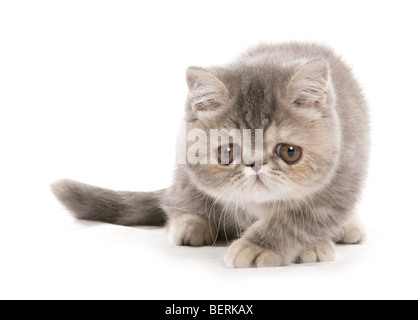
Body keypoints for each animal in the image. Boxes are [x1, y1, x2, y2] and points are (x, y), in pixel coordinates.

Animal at [52, 42, 370, 268]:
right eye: (227, 152)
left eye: (289, 152)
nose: (255, 164)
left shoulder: (341, 182)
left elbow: (297, 220)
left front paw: (260, 245)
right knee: (175, 199)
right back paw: (191, 222)